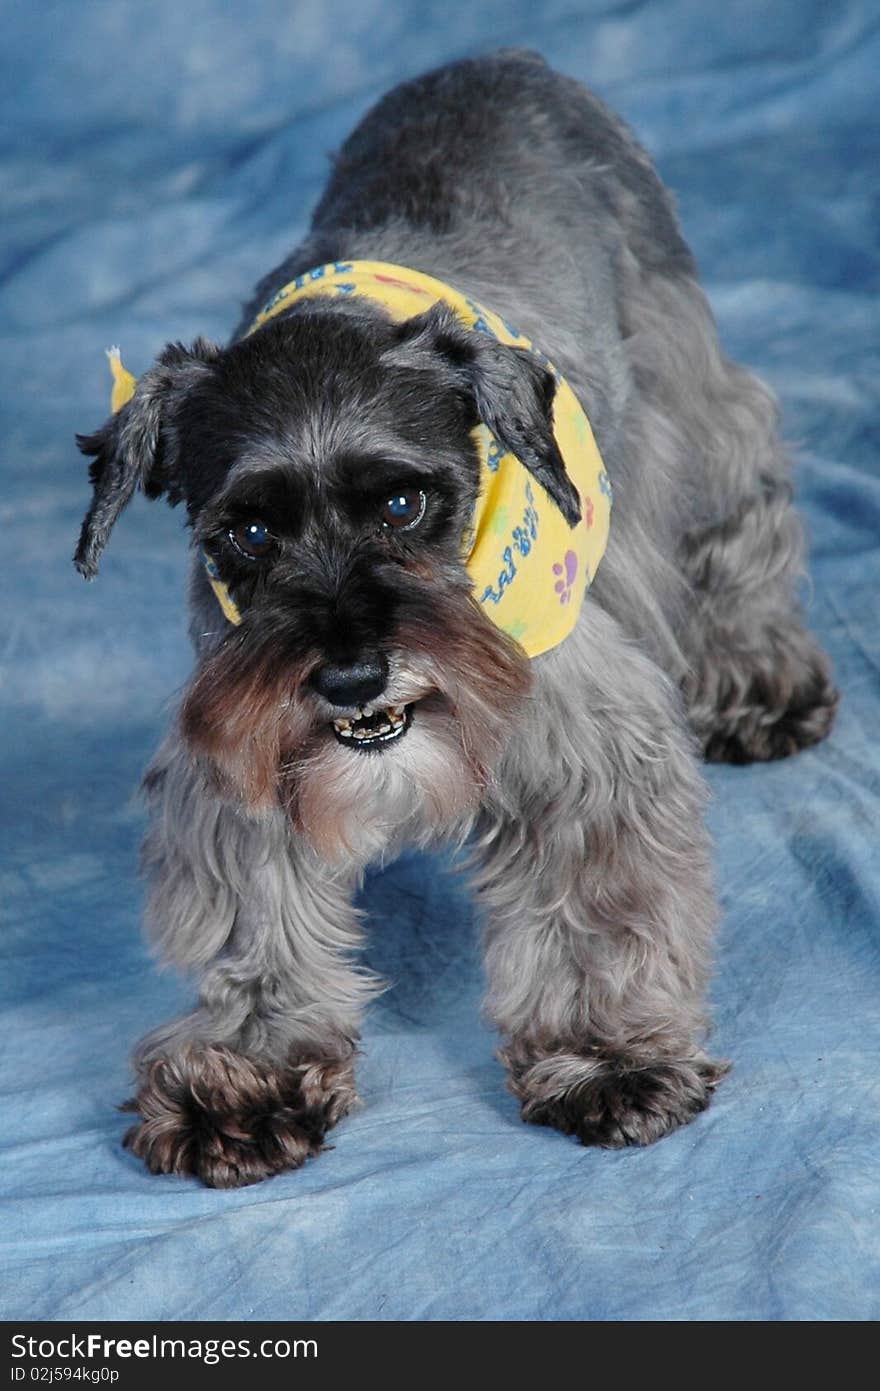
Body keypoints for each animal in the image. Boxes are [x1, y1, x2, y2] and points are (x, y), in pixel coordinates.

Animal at [75, 51, 839, 1185]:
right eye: (247, 532)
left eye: (402, 502)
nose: (351, 675)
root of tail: (498, 59)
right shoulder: (239, 748)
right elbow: (257, 921)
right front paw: (250, 1071)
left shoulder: (584, 740)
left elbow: (591, 906)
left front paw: (607, 1057)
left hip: (680, 393)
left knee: (735, 487)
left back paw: (756, 674)